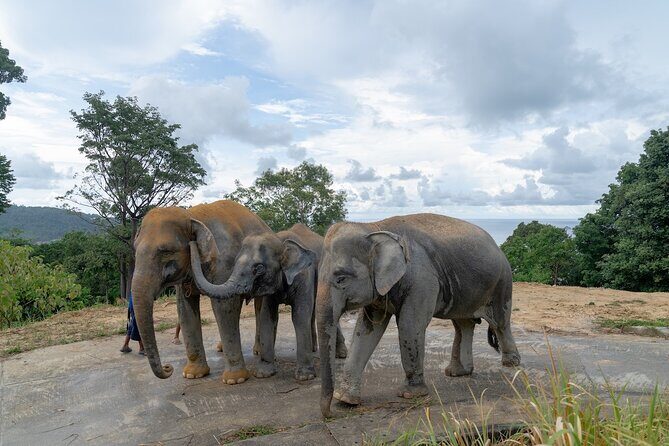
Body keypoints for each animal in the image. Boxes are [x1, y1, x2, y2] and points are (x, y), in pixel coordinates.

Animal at [132, 200, 271, 384]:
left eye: (166, 251)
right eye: (135, 251)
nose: (169, 368)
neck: (192, 215)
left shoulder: (224, 262)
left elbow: (223, 306)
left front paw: (235, 380)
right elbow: (184, 309)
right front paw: (192, 375)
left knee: (258, 304)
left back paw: (257, 351)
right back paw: (221, 348)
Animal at [189, 223, 348, 381]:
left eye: (259, 268)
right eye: (234, 263)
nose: (192, 241)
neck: (280, 241)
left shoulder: (304, 275)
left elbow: (300, 316)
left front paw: (305, 377)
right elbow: (267, 317)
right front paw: (262, 373)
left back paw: (340, 355)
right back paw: (315, 349)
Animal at [316, 213, 521, 417]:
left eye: (341, 279)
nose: (329, 415)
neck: (373, 227)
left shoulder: (422, 280)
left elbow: (409, 325)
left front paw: (410, 395)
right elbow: (366, 330)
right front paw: (345, 400)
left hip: (502, 282)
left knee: (499, 322)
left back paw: (511, 363)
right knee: (463, 324)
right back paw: (457, 372)